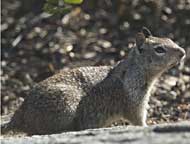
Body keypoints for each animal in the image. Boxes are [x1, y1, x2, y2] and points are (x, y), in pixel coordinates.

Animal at [1, 27, 186, 136]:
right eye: (159, 49)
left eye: (170, 39)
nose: (183, 52)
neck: (136, 68)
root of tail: (20, 114)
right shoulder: (135, 100)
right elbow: (138, 118)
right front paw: (147, 126)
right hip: (66, 105)